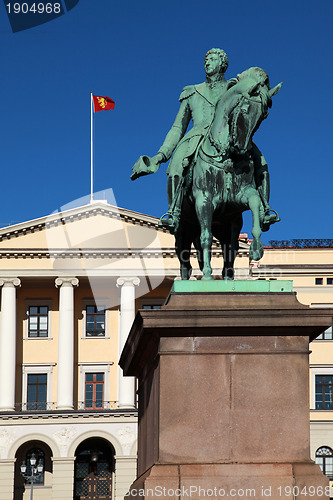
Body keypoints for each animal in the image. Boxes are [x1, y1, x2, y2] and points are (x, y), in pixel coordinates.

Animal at [175, 67, 282, 280]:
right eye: (245, 108)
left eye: (263, 116)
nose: (241, 148)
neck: (226, 156)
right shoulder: (204, 201)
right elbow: (206, 237)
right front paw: (208, 275)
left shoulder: (241, 197)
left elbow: (255, 203)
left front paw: (256, 248)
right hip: (184, 225)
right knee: (185, 254)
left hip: (229, 224)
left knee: (230, 247)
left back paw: (227, 275)